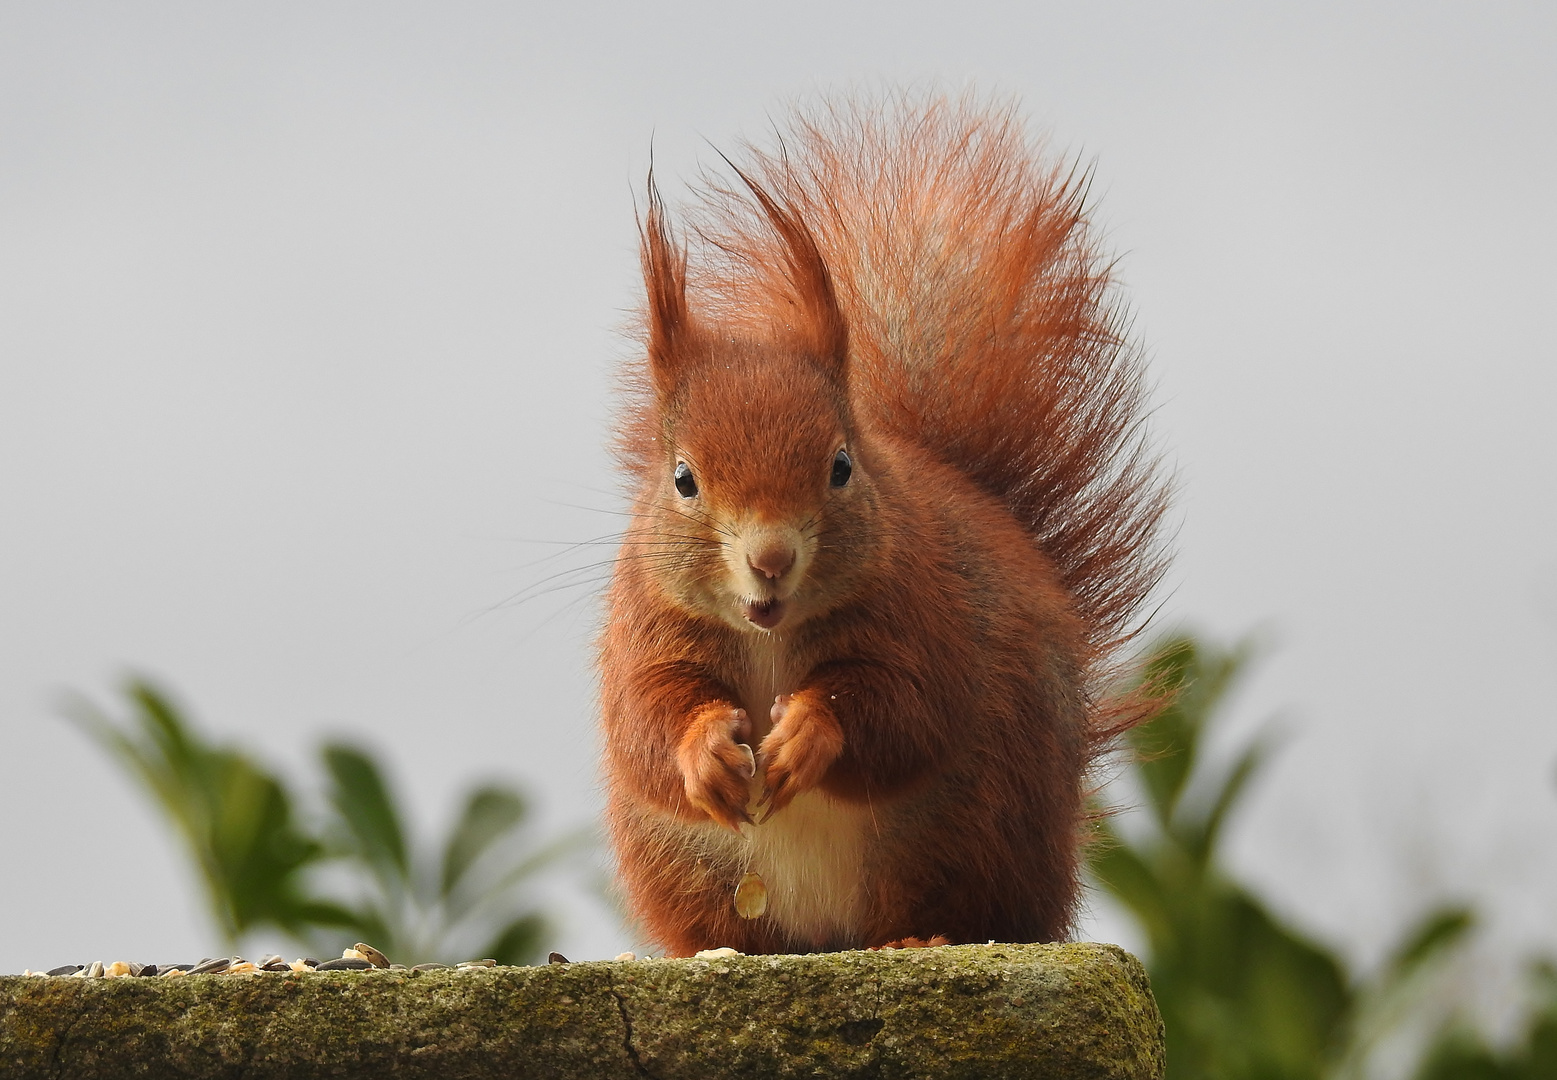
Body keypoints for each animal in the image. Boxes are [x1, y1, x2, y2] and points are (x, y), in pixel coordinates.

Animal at [594, 92, 1170, 958]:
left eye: (840, 464)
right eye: (683, 479)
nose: (771, 557)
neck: (769, 637)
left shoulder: (924, 610)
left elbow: (907, 711)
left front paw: (810, 733)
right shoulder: (648, 626)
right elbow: (645, 723)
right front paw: (703, 753)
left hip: (966, 831)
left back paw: (919, 940)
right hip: (684, 863)